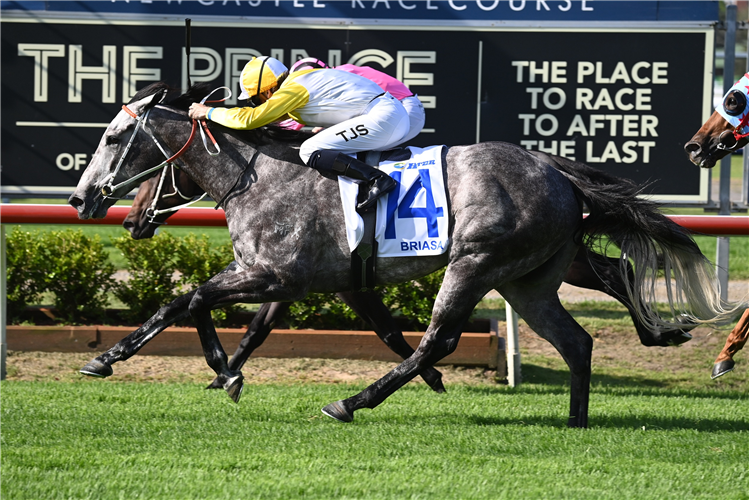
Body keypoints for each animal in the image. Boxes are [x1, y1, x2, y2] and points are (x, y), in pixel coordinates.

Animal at [70, 84, 744, 428]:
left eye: (112, 137)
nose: (84, 200)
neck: (259, 173)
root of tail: (554, 171)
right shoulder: (302, 279)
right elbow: (199, 306)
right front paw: (207, 369)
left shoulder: (274, 274)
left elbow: (190, 298)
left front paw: (207, 369)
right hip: (528, 280)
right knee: (579, 335)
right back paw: (580, 417)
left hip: (477, 262)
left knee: (439, 338)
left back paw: (352, 402)